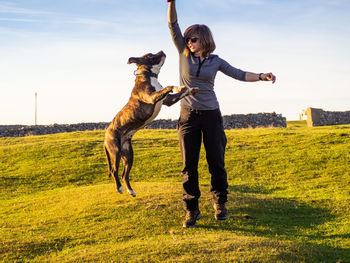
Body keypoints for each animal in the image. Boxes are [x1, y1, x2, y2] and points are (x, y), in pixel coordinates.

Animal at [103, 50, 197, 197]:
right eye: (150, 55)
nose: (162, 51)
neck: (150, 76)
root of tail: (105, 135)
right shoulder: (151, 97)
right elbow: (169, 86)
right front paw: (178, 87)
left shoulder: (168, 100)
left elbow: (181, 92)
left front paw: (189, 89)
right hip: (115, 151)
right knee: (114, 170)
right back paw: (119, 188)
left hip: (128, 155)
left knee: (125, 174)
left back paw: (130, 190)